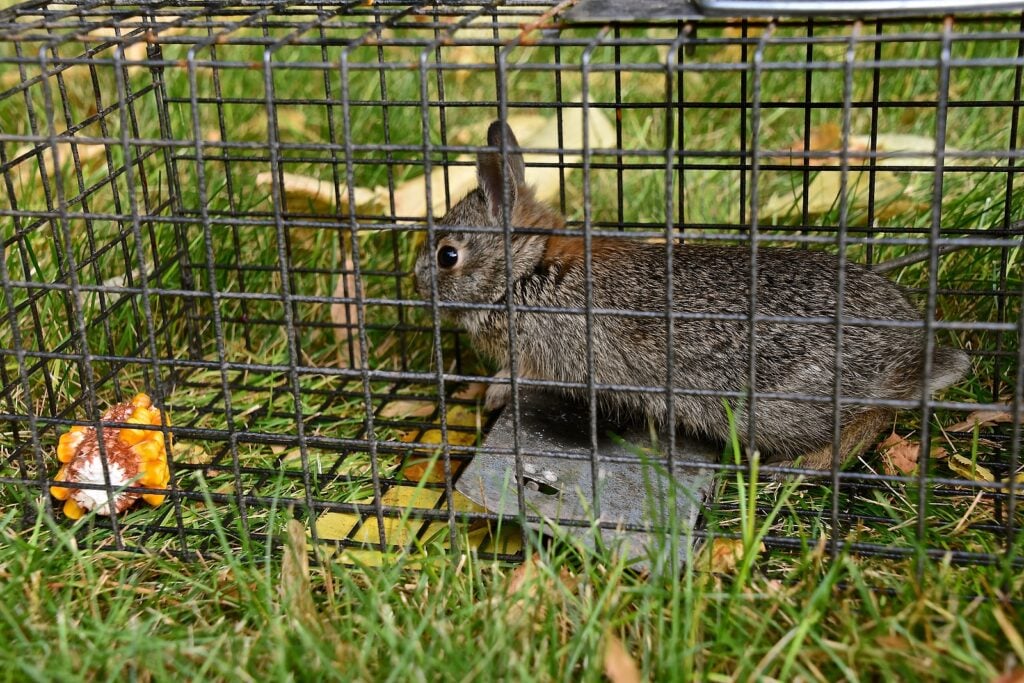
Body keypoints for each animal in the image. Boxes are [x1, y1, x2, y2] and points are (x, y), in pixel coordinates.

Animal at [413, 120, 966, 473]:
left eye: (447, 255)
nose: (416, 282)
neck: (527, 268)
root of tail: (905, 354)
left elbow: (518, 375)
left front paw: (492, 395)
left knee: (864, 424)